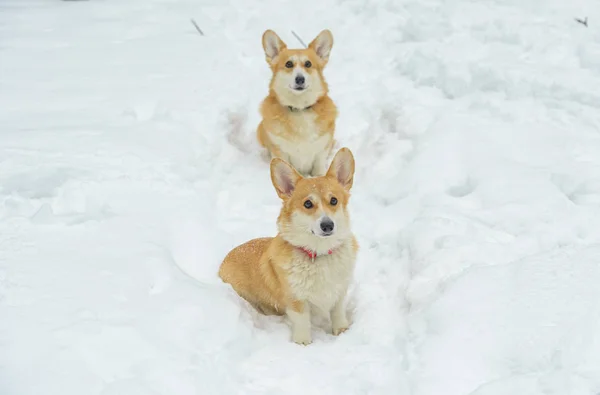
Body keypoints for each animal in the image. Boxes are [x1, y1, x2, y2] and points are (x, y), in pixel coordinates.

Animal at [221, 147, 358, 344]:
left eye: (334, 201)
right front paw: (303, 344)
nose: (327, 225)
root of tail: (222, 263)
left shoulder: (339, 292)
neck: (319, 253)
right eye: (308, 204)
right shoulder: (296, 301)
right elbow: (302, 323)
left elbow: (338, 314)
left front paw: (342, 332)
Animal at [256, 30, 338, 179]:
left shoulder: (321, 152)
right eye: (288, 64)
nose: (300, 79)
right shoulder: (281, 153)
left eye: (308, 64)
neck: (300, 110)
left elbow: (319, 171)